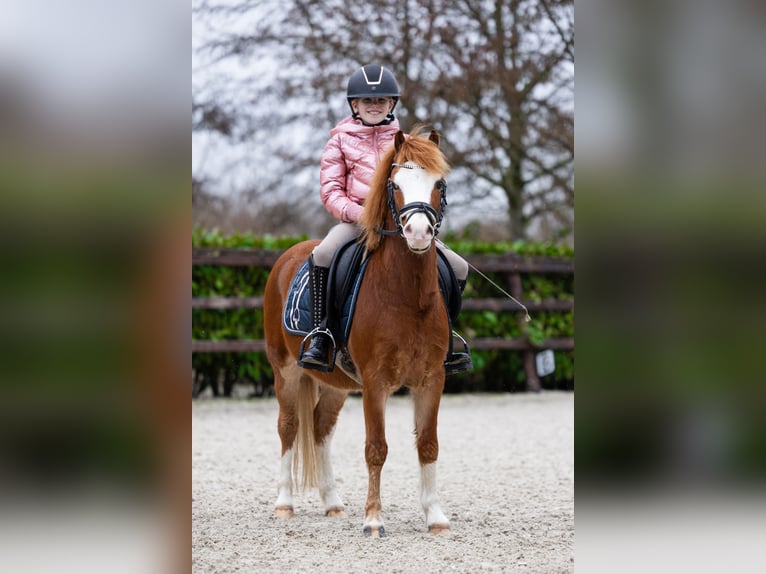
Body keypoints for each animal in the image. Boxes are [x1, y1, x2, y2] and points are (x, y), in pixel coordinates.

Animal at [263, 128, 452, 537]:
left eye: (439, 183)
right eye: (395, 185)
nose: (418, 233)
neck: (406, 294)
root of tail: (288, 256)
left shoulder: (432, 379)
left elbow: (428, 445)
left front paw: (435, 517)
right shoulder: (376, 382)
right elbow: (376, 448)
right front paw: (374, 520)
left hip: (337, 384)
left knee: (319, 427)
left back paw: (332, 503)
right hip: (285, 371)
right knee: (289, 426)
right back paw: (284, 503)